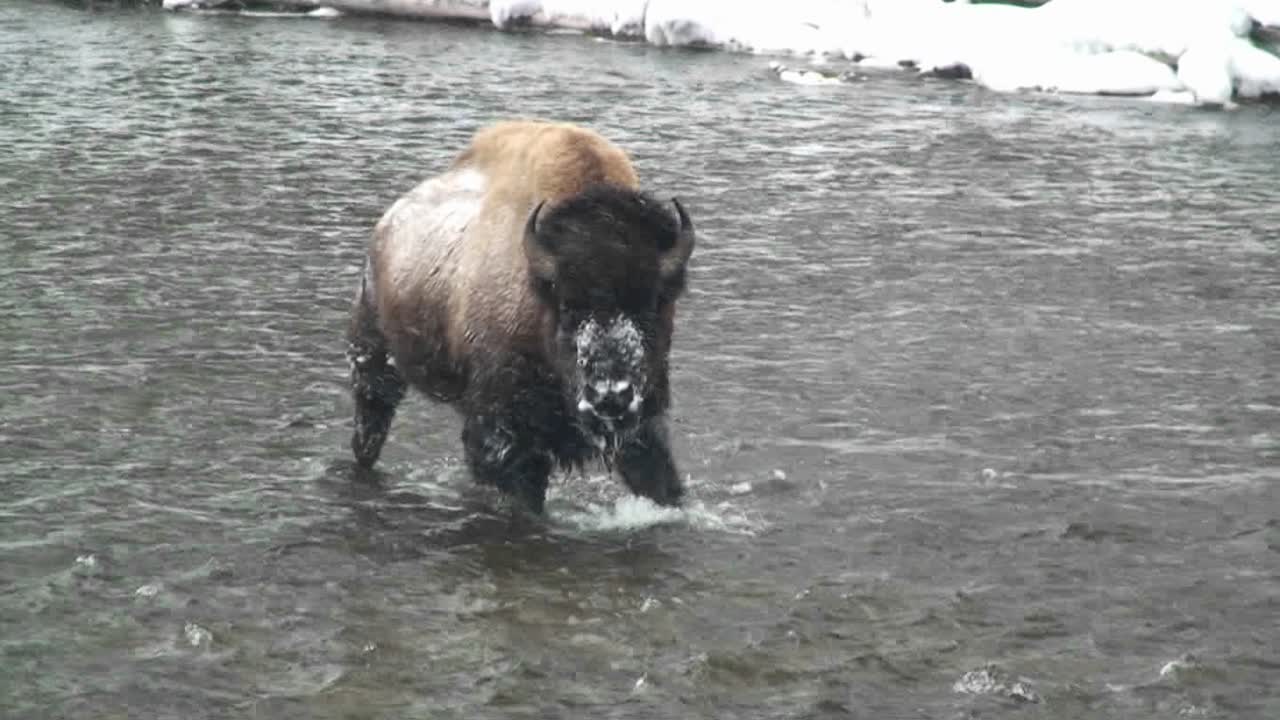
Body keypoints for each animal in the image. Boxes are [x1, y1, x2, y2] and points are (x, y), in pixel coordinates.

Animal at [346, 120, 696, 513]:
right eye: (567, 305)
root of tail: (388, 222)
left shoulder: (646, 424)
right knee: (371, 421)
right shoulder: (505, 436)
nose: (610, 397)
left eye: (653, 304)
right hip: (373, 356)